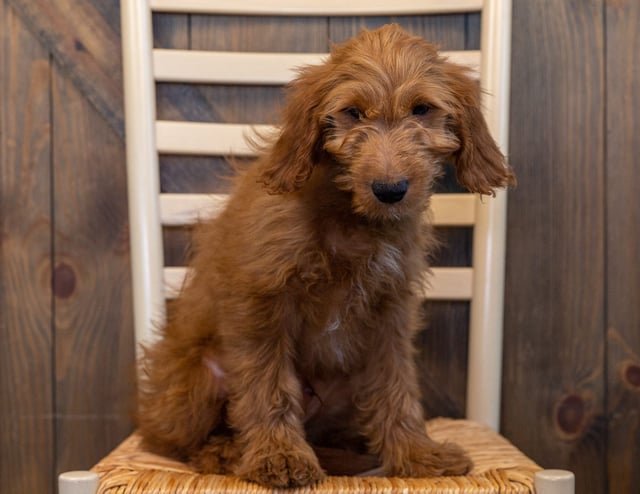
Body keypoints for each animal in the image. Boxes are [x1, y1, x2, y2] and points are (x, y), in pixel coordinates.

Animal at [138, 23, 516, 486]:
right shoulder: (261, 302)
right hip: (199, 378)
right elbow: (267, 386)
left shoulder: (390, 312)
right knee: (175, 443)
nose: (390, 190)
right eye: (353, 113)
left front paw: (416, 453)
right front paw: (278, 455)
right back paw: (226, 452)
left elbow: (397, 386)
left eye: (422, 109)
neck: (352, 219)